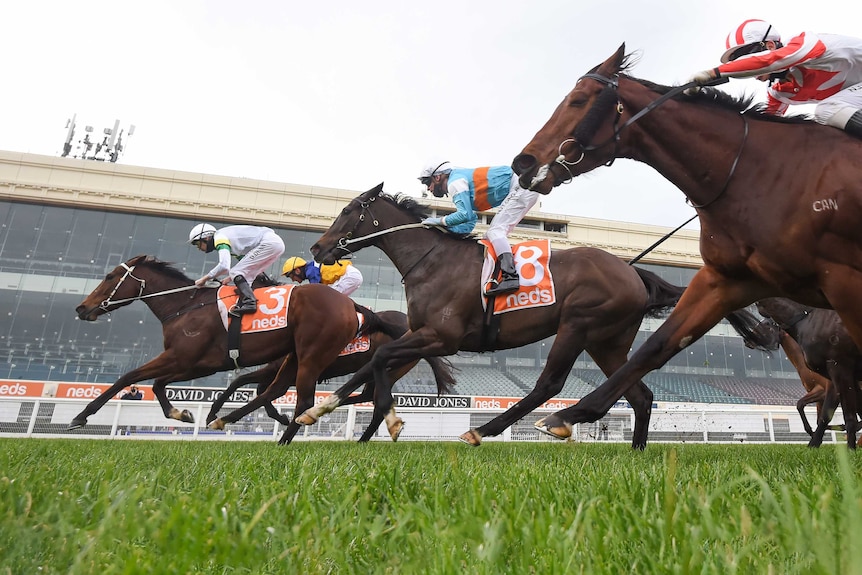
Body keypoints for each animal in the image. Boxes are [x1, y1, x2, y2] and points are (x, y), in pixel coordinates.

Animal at [70, 254, 404, 444]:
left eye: (110, 276)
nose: (81, 308)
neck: (184, 306)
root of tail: (351, 307)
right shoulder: (196, 363)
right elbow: (159, 384)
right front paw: (183, 413)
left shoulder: (182, 357)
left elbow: (128, 377)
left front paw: (81, 417)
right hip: (299, 357)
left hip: (312, 355)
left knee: (308, 399)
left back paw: (286, 439)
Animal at [304, 184, 776, 450]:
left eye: (347, 211)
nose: (317, 248)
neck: (431, 260)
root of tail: (633, 272)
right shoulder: (421, 333)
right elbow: (373, 361)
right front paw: (320, 408)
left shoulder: (442, 335)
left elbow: (381, 360)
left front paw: (388, 416)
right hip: (607, 341)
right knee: (639, 393)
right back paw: (636, 452)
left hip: (579, 324)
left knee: (549, 385)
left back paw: (488, 429)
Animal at [512, 44, 862, 450]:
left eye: (579, 99)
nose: (523, 162)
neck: (760, 173)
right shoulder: (728, 279)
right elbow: (657, 345)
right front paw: (567, 414)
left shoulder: (844, 280)